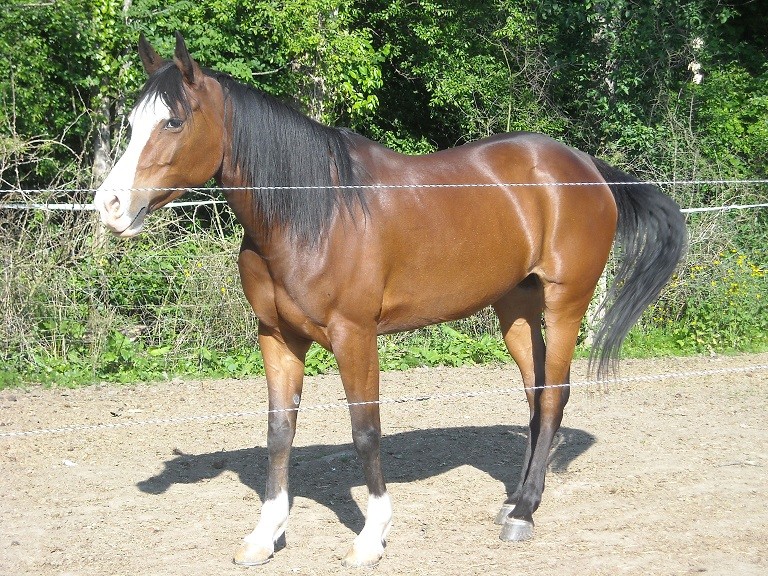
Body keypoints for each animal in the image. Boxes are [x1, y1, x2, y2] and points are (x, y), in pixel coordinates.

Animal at [93, 32, 688, 568]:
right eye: (131, 124)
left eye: (173, 121)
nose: (110, 206)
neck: (314, 213)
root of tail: (587, 168)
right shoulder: (277, 337)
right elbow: (279, 431)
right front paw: (264, 536)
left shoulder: (353, 335)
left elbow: (365, 430)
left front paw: (371, 537)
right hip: (515, 310)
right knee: (536, 395)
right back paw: (514, 501)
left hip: (566, 303)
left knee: (554, 396)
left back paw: (524, 513)